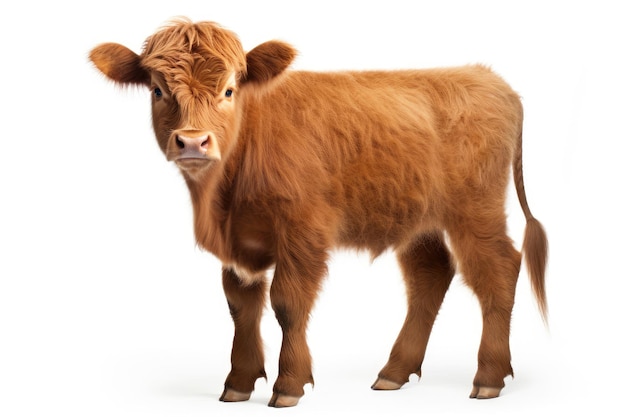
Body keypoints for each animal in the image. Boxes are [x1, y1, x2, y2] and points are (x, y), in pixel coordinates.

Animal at [89, 18, 544, 406]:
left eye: (230, 90)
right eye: (157, 90)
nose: (193, 142)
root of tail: (487, 78)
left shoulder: (302, 231)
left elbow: (287, 303)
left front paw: (289, 384)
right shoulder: (238, 243)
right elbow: (241, 306)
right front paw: (237, 383)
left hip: (476, 212)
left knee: (499, 269)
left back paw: (488, 377)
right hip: (419, 222)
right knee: (430, 275)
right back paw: (394, 372)